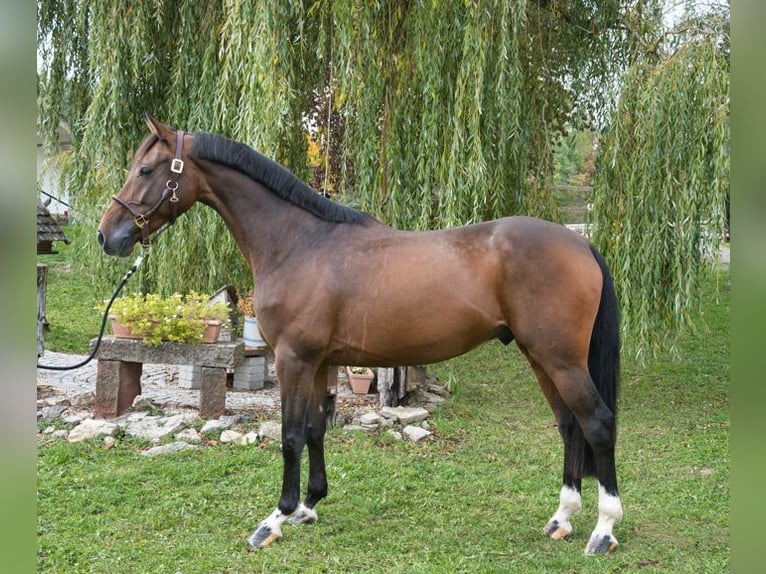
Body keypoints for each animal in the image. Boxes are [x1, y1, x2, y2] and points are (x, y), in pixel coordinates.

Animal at [97, 116, 623, 555]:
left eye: (145, 170)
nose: (108, 236)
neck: (298, 243)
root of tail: (581, 243)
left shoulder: (292, 358)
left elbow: (290, 434)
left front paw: (275, 520)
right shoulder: (320, 362)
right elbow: (315, 428)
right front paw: (310, 506)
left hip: (560, 359)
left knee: (596, 423)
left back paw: (603, 530)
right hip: (541, 357)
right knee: (569, 425)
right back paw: (562, 518)